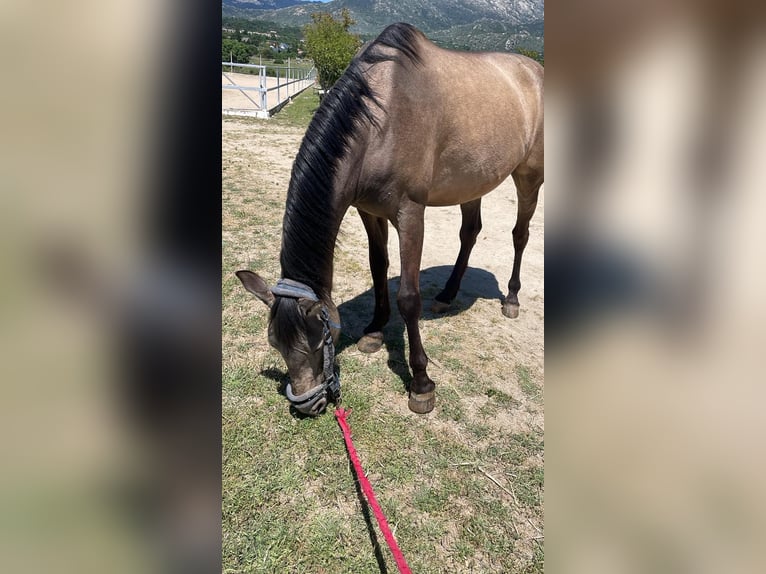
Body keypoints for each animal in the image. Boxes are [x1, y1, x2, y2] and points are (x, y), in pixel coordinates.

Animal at [236, 22, 543, 416]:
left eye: (320, 340)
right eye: (275, 343)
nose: (309, 404)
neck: (381, 122)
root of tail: (534, 70)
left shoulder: (410, 215)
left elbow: (408, 297)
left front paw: (421, 384)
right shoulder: (369, 210)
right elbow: (377, 266)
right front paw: (374, 331)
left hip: (529, 175)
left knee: (520, 234)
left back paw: (512, 300)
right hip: (471, 181)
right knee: (470, 232)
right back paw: (447, 295)